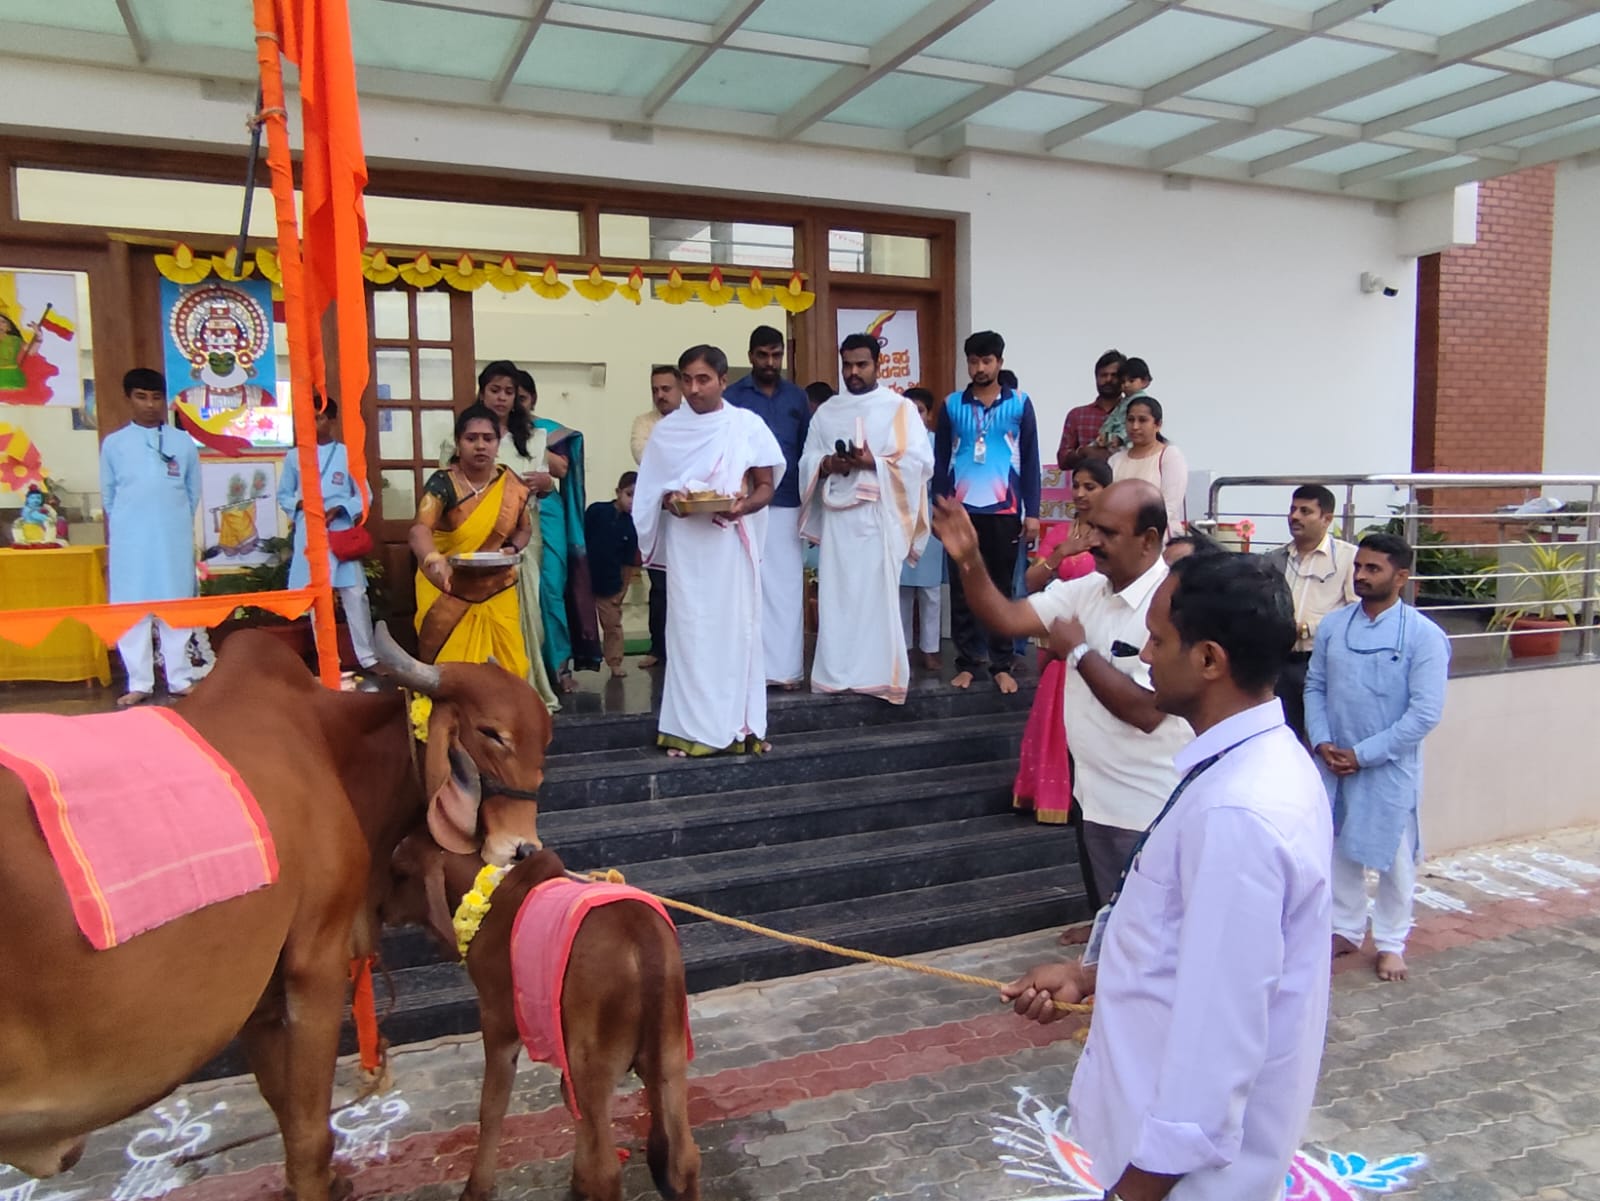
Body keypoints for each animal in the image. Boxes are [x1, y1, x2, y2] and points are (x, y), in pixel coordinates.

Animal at [0, 630, 550, 1201]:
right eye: (491, 732)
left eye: (547, 737)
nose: (523, 849)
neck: (331, 749)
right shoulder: (317, 965)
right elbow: (308, 1136)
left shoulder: (259, 996)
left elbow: (284, 1108)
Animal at [385, 837, 700, 1201]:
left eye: (400, 871)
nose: (380, 909)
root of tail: (640, 934)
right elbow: (566, 1098)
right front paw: (578, 1182)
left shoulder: (498, 1022)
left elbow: (491, 1108)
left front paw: (477, 1188)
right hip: (669, 1053)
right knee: (684, 1158)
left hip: (593, 1063)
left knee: (607, 1171)